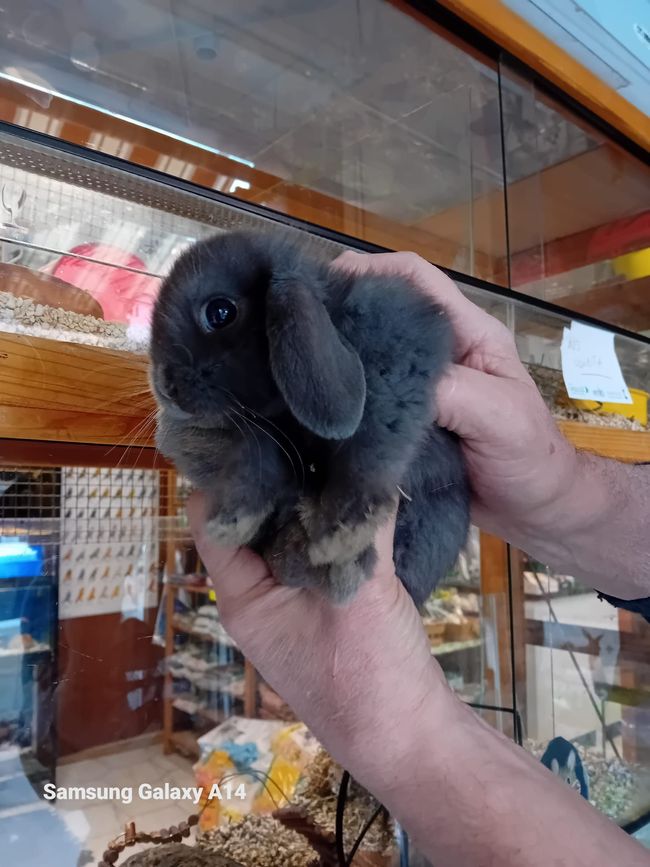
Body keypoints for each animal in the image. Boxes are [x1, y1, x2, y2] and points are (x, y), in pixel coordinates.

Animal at [150, 230, 470, 604]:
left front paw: (342, 532)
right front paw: (234, 520)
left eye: (220, 312)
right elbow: (255, 453)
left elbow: (374, 442)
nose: (166, 388)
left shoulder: (400, 364)